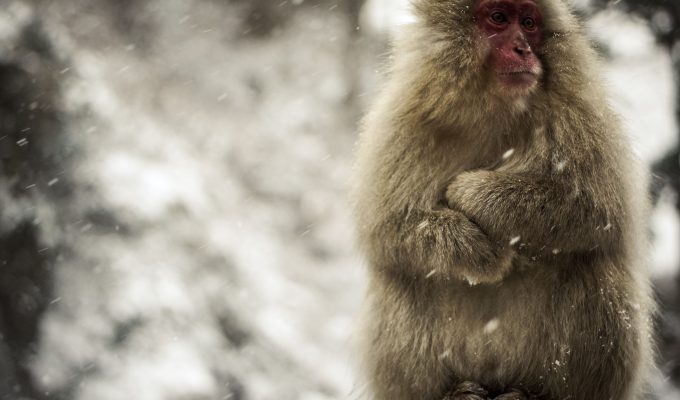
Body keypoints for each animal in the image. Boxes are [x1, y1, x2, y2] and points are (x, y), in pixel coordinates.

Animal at [351, 0, 654, 399]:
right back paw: (452, 391)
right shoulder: (401, 122)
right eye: (498, 18)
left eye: (528, 23)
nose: (522, 48)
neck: (492, 108)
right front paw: (479, 252)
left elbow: (597, 211)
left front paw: (474, 194)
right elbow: (387, 228)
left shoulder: (580, 118)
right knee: (401, 275)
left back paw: (536, 393)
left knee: (592, 265)